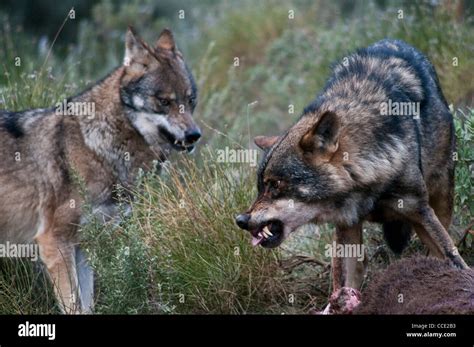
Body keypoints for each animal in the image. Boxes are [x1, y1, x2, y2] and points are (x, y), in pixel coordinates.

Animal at [0, 27, 200, 314]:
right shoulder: (54, 242)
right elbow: (72, 306)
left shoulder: (85, 245)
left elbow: (86, 306)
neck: (96, 146)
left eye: (191, 100)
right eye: (164, 101)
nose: (195, 135)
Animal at [235, 38, 468, 308]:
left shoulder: (418, 210)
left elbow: (452, 257)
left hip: (441, 197)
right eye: (260, 187)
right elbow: (343, 281)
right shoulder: (346, 225)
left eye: (275, 185)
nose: (241, 220)